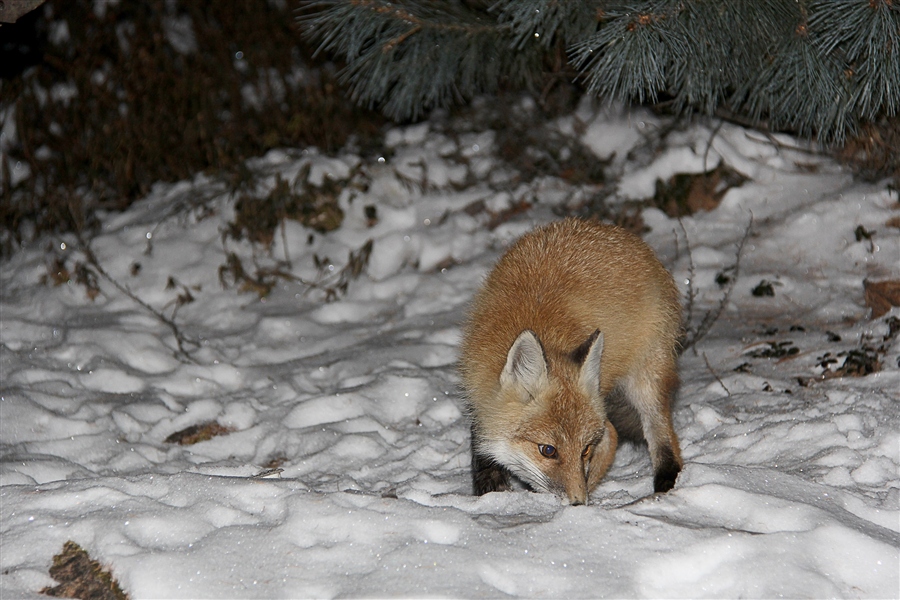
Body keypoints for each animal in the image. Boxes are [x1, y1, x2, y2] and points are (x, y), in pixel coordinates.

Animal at [458, 218, 684, 504]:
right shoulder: (478, 395)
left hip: (646, 380)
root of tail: (614, 231)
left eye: (585, 450)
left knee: (662, 437)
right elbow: (480, 446)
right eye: (548, 450)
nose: (578, 503)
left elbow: (609, 441)